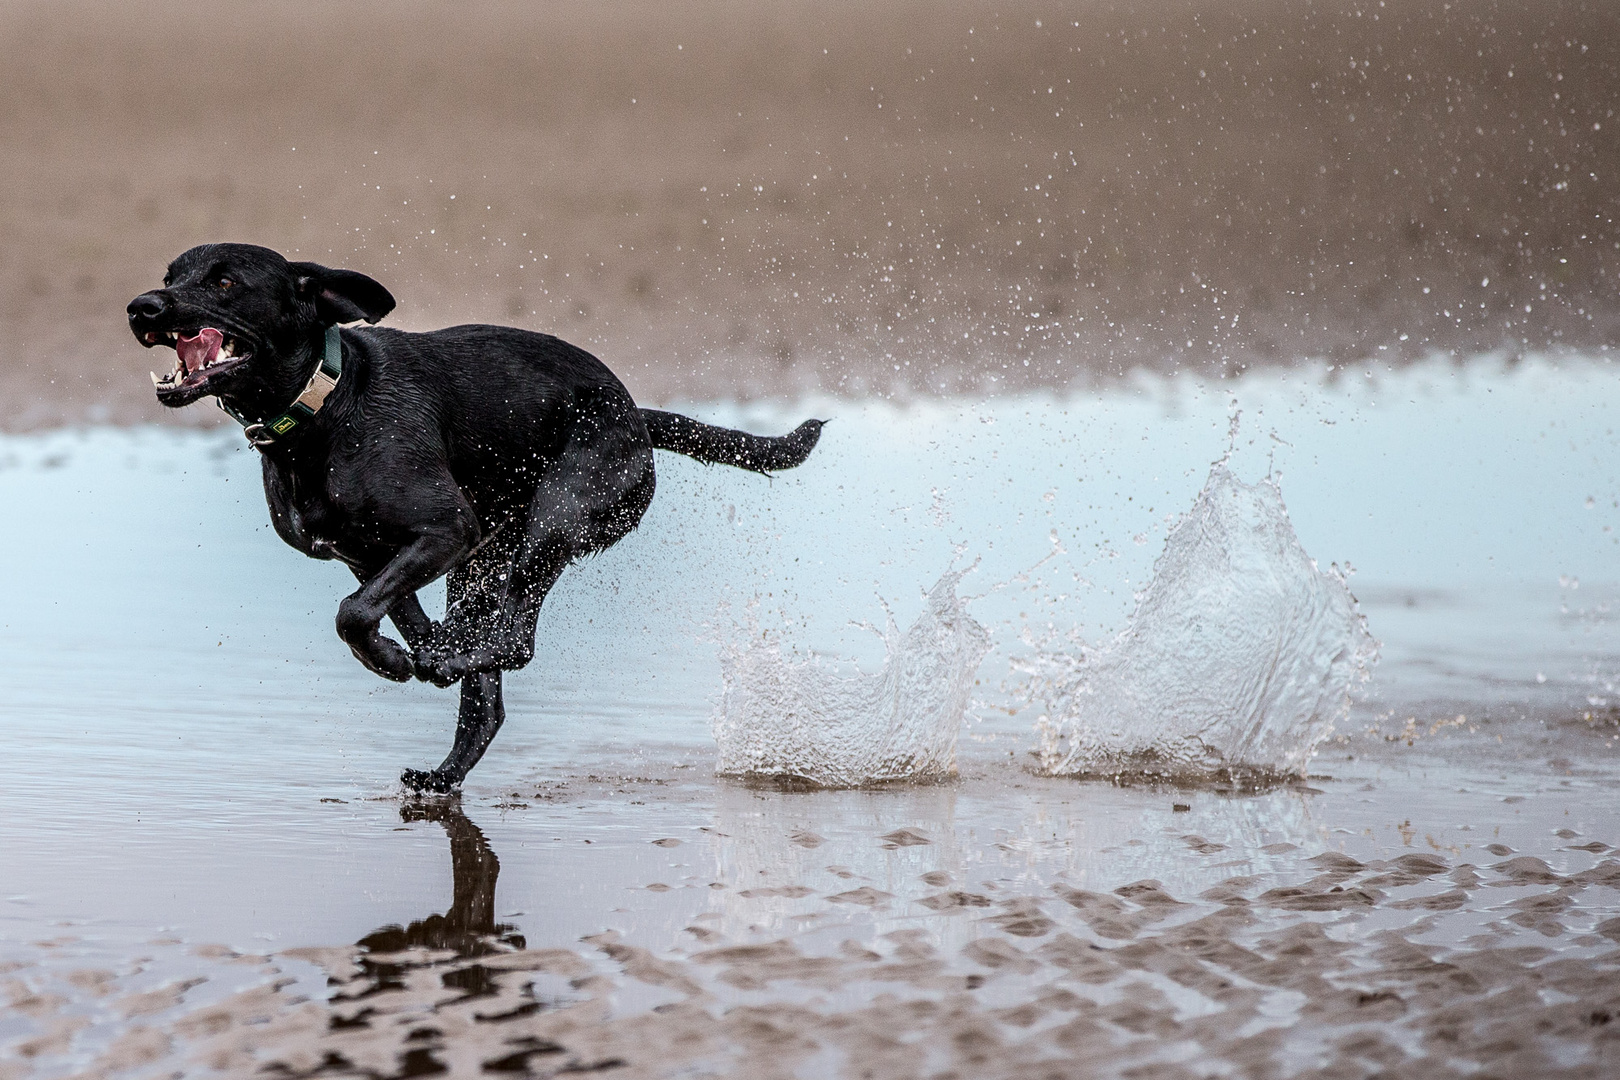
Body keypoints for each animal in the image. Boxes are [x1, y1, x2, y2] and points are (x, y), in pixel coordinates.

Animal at [126, 244, 822, 793]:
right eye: (171, 274)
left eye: (224, 282)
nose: (143, 307)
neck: (325, 405)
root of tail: (636, 417)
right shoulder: (370, 555)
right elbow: (383, 612)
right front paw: (408, 652)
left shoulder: (445, 530)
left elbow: (351, 614)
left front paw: (396, 660)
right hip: (488, 560)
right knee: (487, 694)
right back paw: (443, 762)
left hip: (556, 517)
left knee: (515, 642)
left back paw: (457, 663)